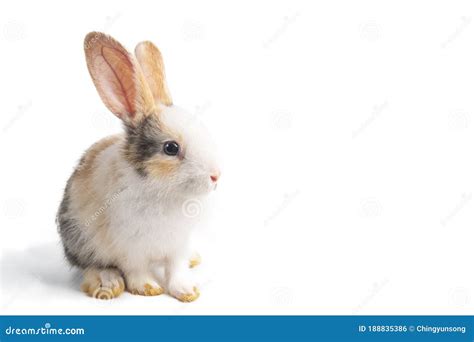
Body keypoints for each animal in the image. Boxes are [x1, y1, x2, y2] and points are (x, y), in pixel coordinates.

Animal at [56, 30, 219, 300]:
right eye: (171, 148)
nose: (216, 176)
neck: (163, 192)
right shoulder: (130, 248)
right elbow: (137, 269)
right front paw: (148, 288)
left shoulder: (179, 245)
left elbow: (176, 269)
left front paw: (187, 291)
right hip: (79, 240)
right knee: (91, 265)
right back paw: (107, 284)